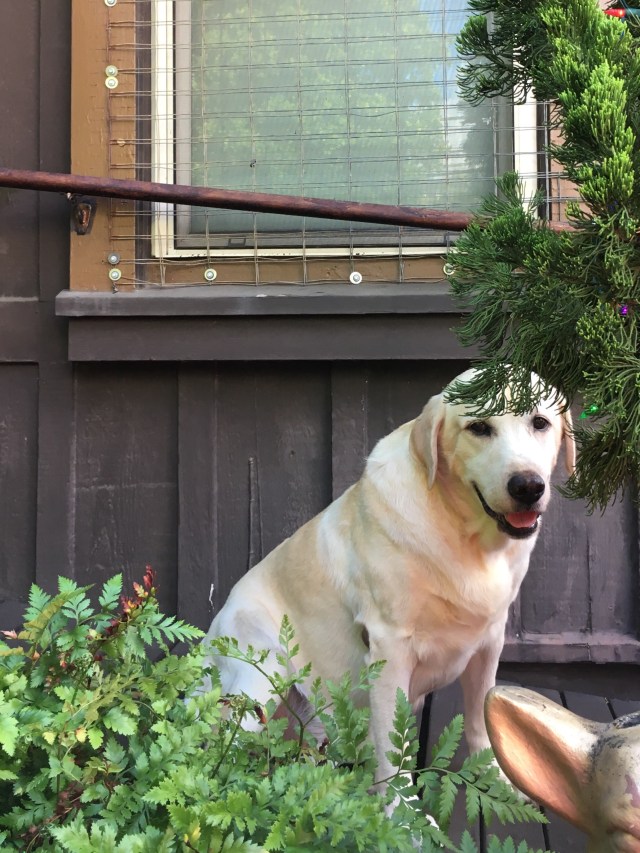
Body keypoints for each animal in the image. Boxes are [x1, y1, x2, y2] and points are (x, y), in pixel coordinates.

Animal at [201, 368, 575, 788]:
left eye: (540, 423)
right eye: (478, 428)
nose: (527, 486)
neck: (464, 536)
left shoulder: (489, 640)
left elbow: (482, 717)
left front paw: (494, 777)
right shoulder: (390, 649)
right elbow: (392, 755)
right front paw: (404, 807)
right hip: (259, 673)